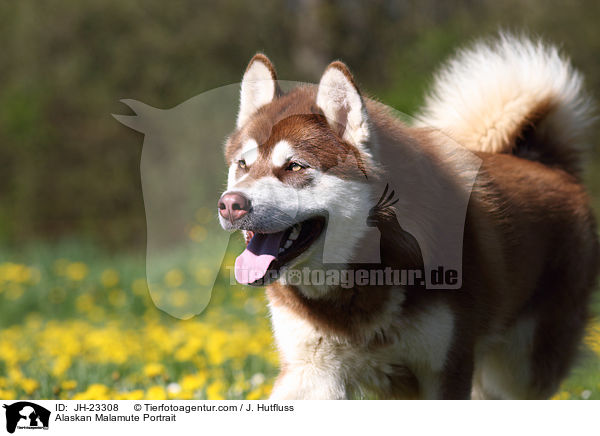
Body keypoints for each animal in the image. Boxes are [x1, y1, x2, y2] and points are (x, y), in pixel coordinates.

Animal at [218, 35, 596, 400]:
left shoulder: (445, 368)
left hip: (519, 371)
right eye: (243, 164)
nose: (230, 205)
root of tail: (544, 162)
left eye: (295, 166)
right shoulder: (312, 371)